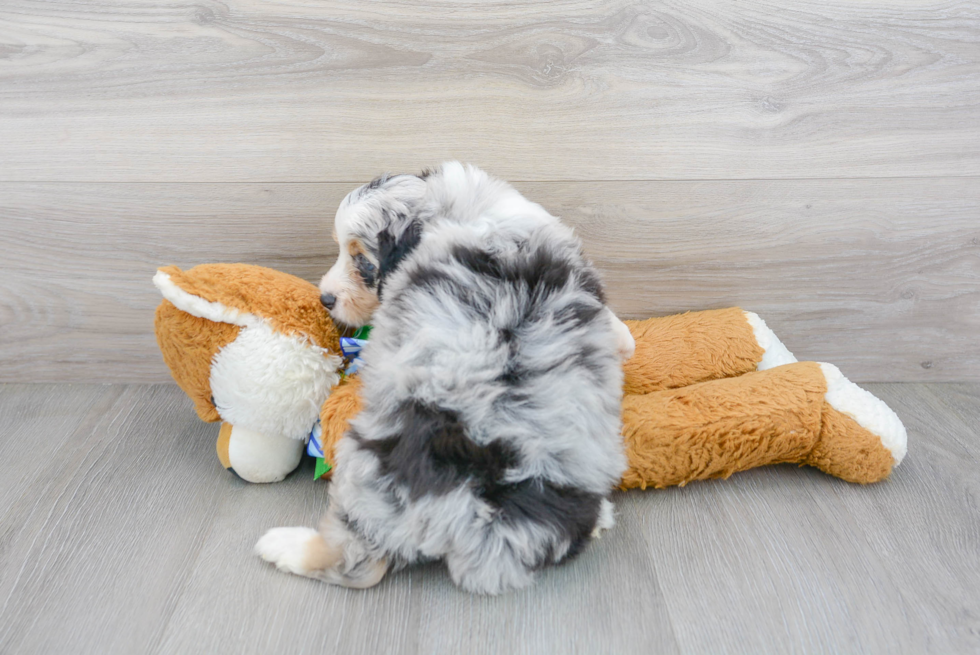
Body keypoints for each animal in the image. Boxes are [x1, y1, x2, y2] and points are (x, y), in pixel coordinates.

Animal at [256, 160, 636, 596]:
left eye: (362, 261)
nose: (325, 299)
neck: (460, 210)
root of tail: (483, 506)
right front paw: (626, 340)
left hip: (364, 470)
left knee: (357, 563)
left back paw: (282, 545)